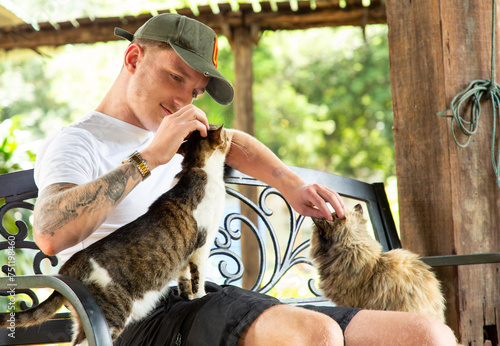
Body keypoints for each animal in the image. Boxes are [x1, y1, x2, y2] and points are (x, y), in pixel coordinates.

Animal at [0, 124, 227, 344]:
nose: (228, 135)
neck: (197, 168)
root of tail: (71, 268)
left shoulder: (185, 256)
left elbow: (184, 280)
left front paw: (188, 297)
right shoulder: (201, 246)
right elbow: (198, 278)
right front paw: (201, 297)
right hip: (113, 314)